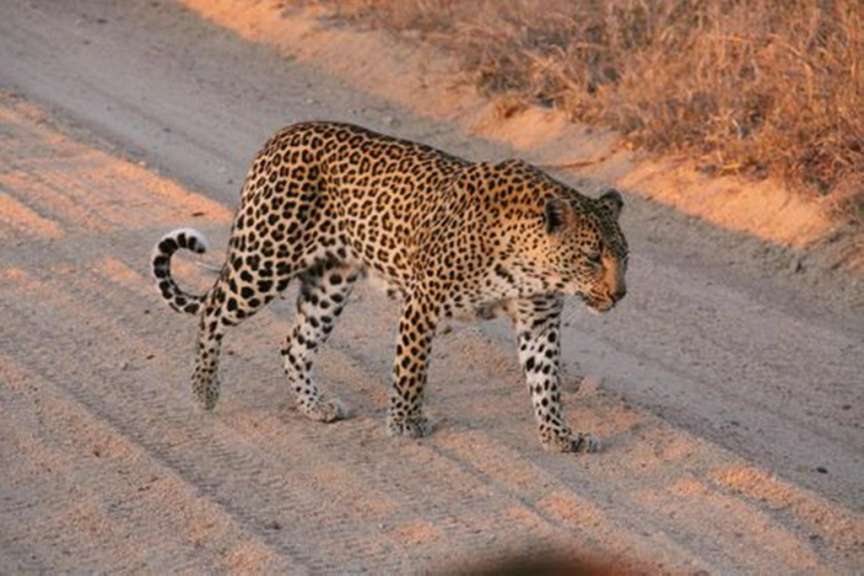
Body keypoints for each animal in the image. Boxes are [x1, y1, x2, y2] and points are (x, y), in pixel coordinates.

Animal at [151, 121, 628, 453]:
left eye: (624, 257)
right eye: (592, 258)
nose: (619, 294)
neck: (529, 263)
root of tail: (278, 137)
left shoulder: (539, 322)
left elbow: (547, 384)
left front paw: (559, 435)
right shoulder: (424, 302)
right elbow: (411, 371)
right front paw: (404, 424)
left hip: (330, 282)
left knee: (294, 345)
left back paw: (315, 406)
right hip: (266, 259)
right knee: (213, 310)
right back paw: (204, 392)